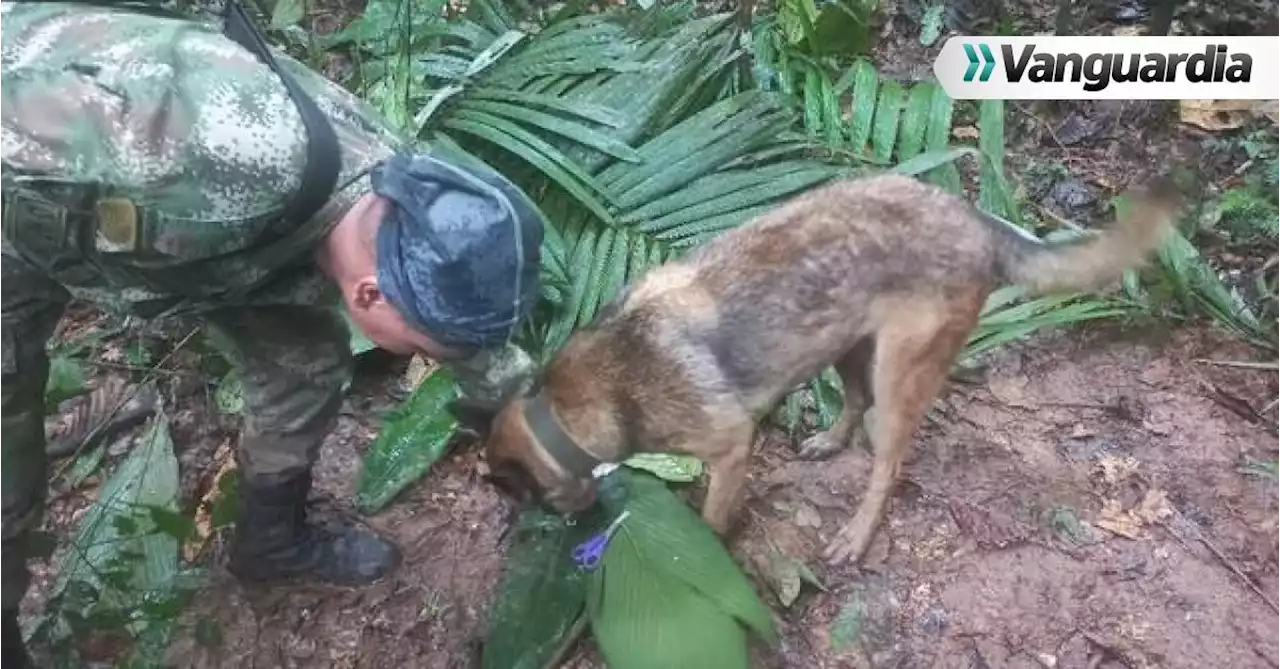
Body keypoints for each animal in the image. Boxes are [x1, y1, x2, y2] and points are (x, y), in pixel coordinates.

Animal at [481, 172, 1177, 565]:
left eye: (526, 499)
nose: (567, 528)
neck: (571, 406)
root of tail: (973, 216)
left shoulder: (729, 449)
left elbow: (712, 518)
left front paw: (709, 550)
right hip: (845, 341)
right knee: (855, 400)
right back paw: (828, 441)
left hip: (900, 373)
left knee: (887, 462)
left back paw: (857, 536)